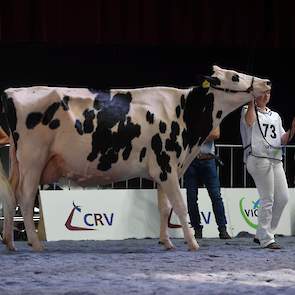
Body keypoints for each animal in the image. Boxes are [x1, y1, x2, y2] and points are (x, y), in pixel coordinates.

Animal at [0, 65, 272, 252]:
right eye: (235, 76)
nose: (267, 81)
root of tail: (14, 91)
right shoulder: (167, 165)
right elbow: (181, 206)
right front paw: (193, 243)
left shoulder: (163, 170)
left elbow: (165, 208)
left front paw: (167, 243)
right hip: (33, 159)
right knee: (25, 197)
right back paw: (36, 244)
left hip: (18, 162)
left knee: (11, 196)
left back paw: (10, 243)